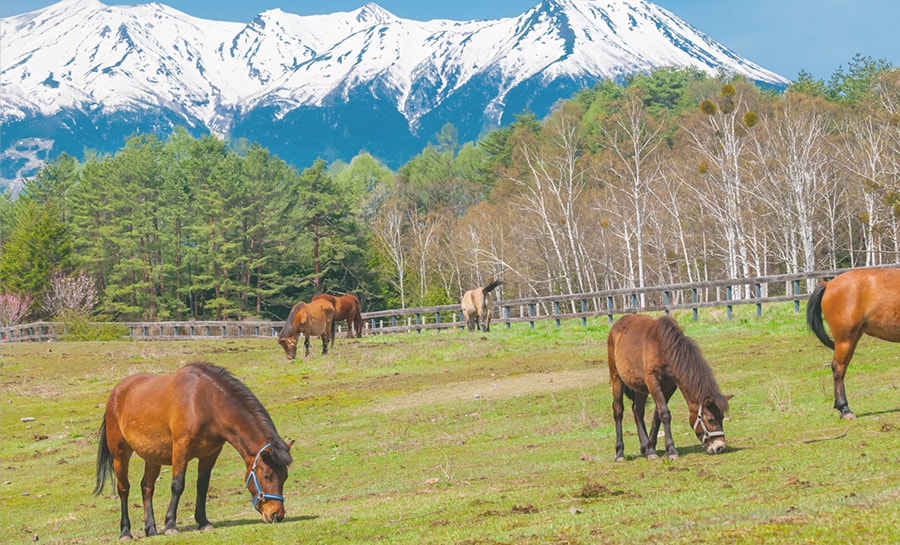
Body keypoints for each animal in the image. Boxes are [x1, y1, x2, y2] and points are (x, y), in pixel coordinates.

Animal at [93, 362, 294, 540]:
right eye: (266, 475)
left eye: (285, 477)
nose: (277, 514)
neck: (204, 402)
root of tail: (117, 392)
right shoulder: (181, 449)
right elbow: (177, 485)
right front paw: (170, 525)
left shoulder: (210, 454)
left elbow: (202, 485)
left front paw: (203, 522)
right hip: (120, 454)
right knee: (124, 489)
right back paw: (125, 532)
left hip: (152, 457)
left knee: (147, 487)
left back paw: (151, 529)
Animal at [604, 312, 732, 462]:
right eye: (710, 419)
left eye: (722, 417)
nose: (720, 447)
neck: (663, 347)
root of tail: (618, 323)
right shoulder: (653, 381)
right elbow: (665, 414)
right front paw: (671, 450)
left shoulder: (670, 386)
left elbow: (657, 416)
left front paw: (651, 449)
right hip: (616, 377)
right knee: (618, 411)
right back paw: (620, 452)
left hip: (640, 385)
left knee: (638, 411)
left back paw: (644, 447)